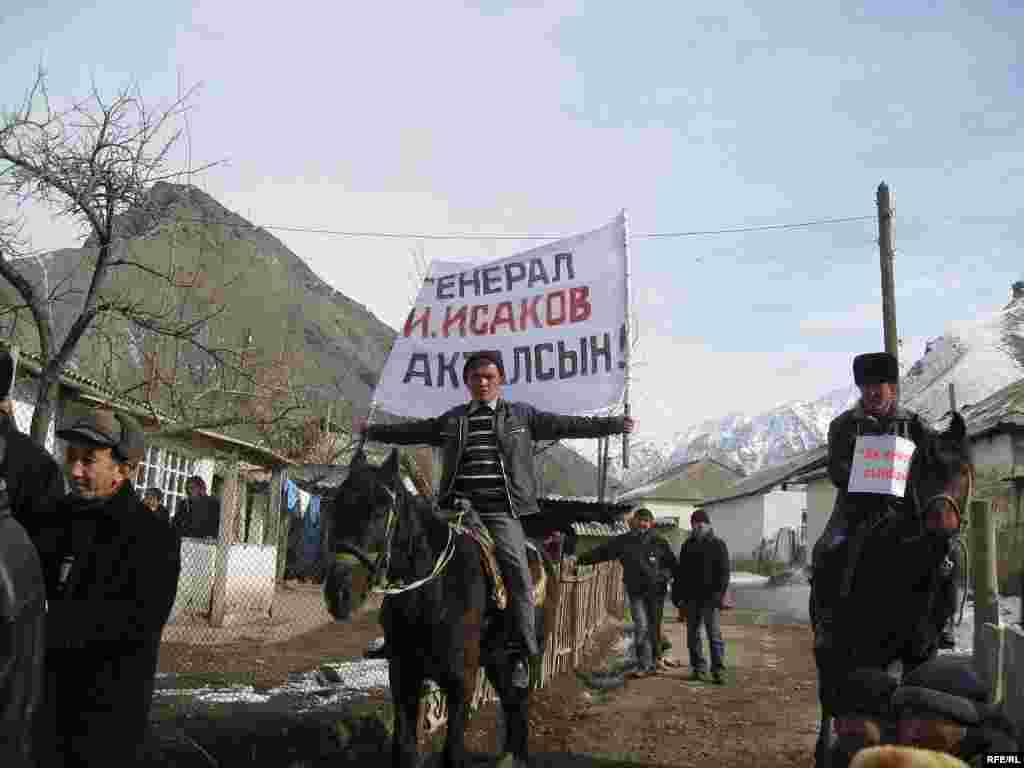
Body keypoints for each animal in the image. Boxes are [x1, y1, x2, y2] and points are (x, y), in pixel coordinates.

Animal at [811, 415, 970, 768]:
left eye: (964, 471)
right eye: (922, 471)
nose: (941, 530)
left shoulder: (921, 655)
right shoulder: (870, 652)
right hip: (834, 647)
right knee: (829, 696)